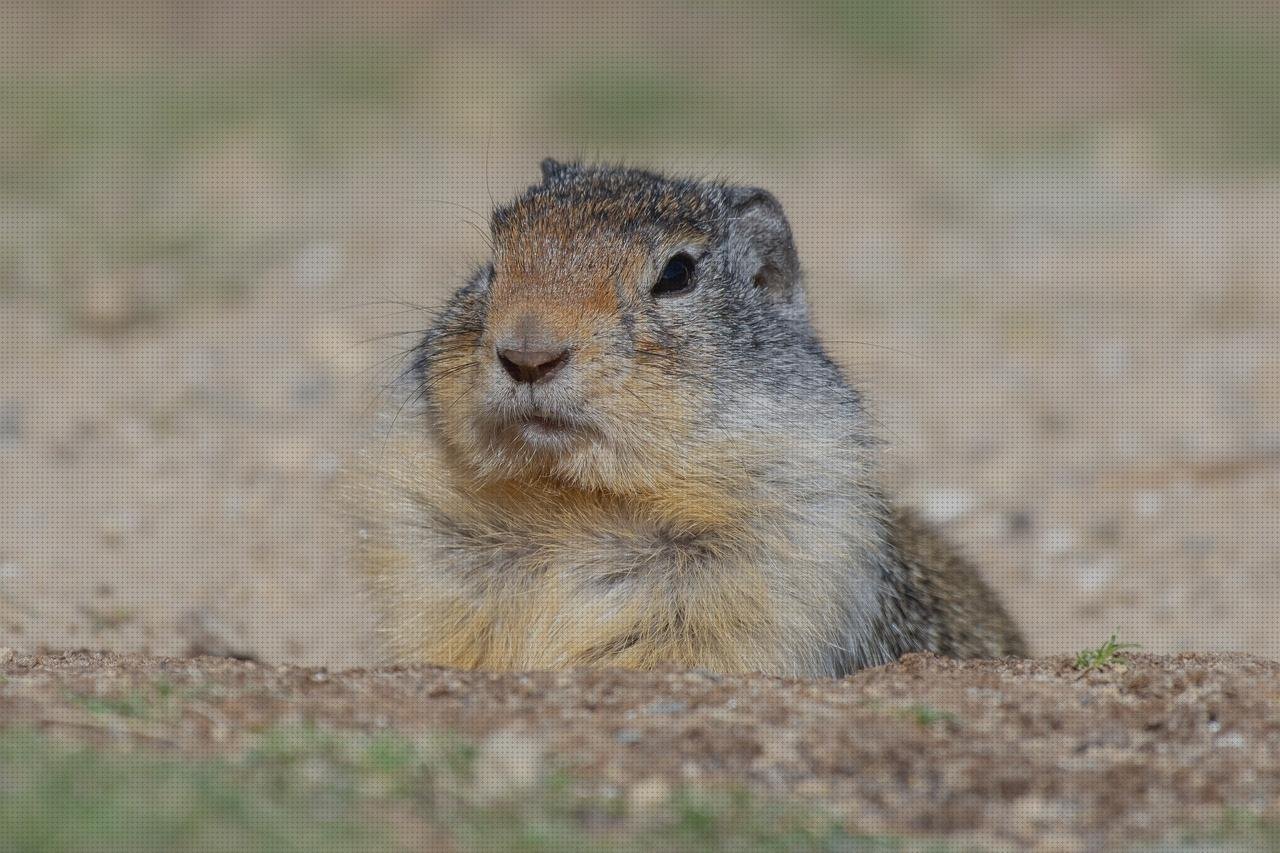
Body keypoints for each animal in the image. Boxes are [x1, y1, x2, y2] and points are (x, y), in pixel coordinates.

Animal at [353, 161, 1029, 676]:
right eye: (491, 264)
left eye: (678, 273)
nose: (528, 354)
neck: (579, 501)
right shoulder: (427, 559)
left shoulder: (790, 561)